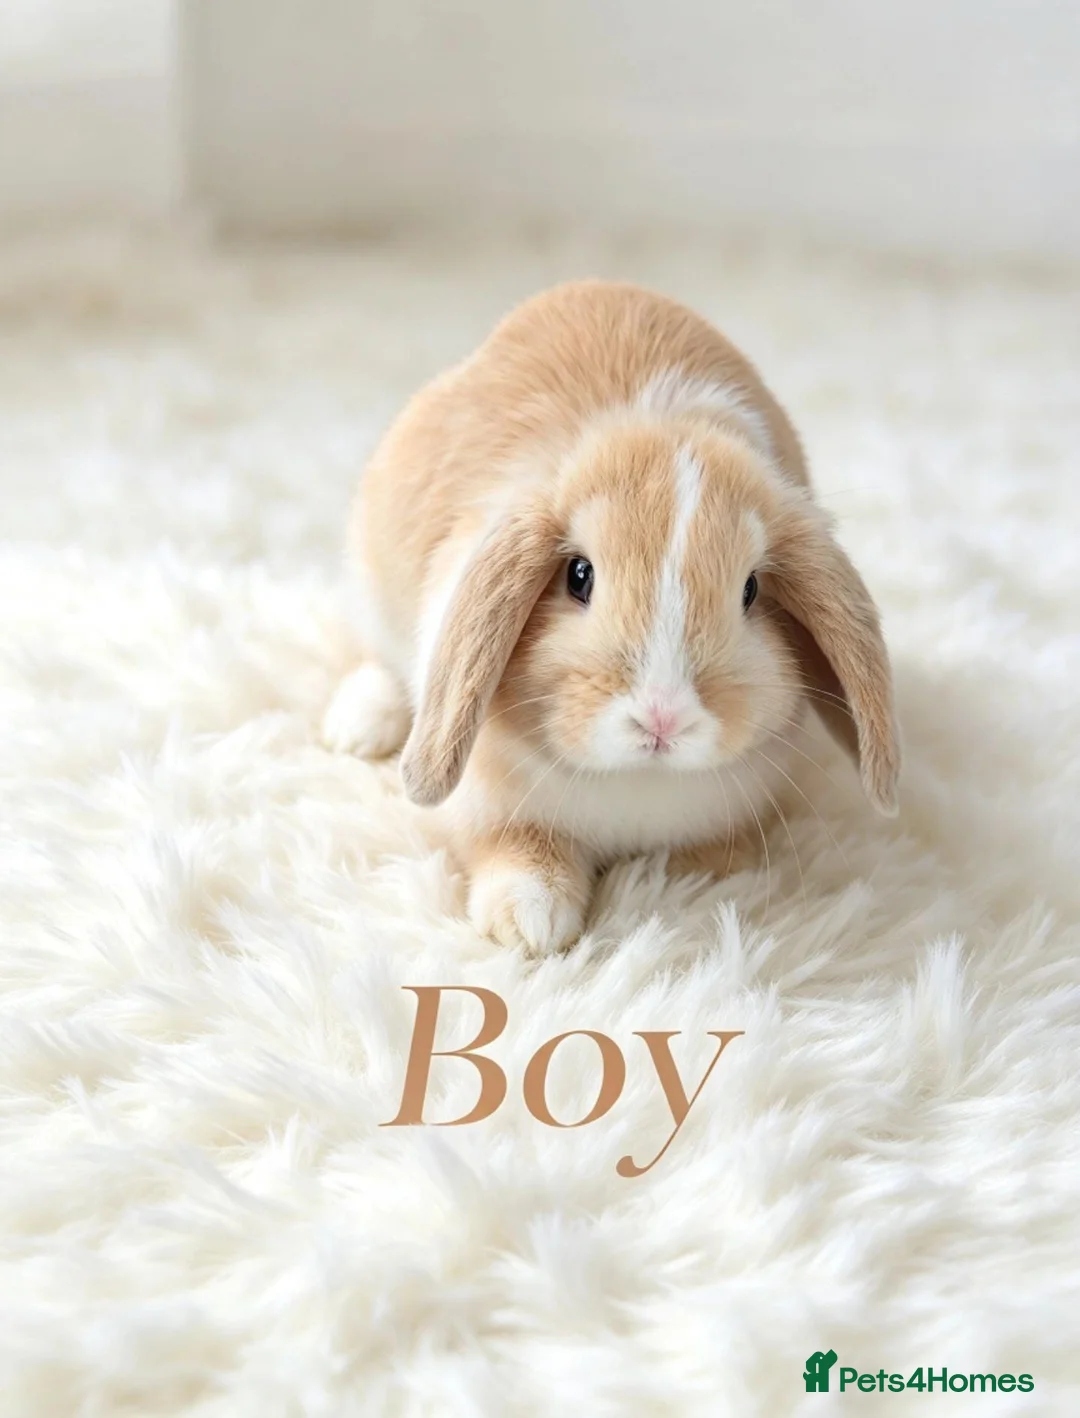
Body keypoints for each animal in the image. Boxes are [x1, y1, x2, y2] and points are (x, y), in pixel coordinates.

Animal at [323, 280, 899, 953]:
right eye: (579, 576)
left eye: (752, 590)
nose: (663, 718)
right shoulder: (492, 808)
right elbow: (511, 852)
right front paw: (532, 924)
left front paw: (698, 876)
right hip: (372, 583)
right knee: (378, 662)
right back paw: (357, 729)